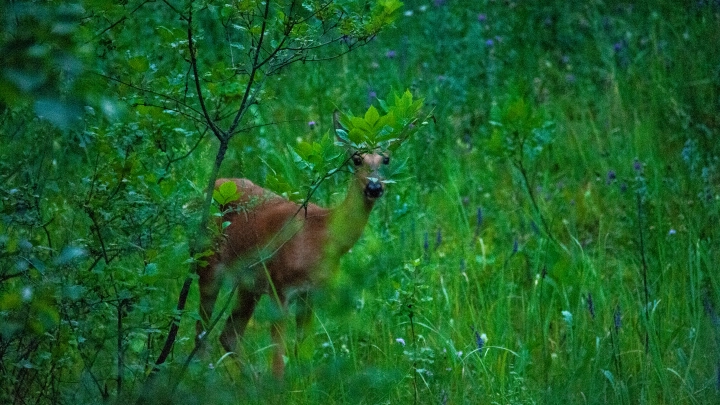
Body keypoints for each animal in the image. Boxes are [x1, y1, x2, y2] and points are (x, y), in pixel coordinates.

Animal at [194, 113, 390, 376]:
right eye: (356, 158)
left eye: (386, 159)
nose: (374, 187)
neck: (322, 234)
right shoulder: (280, 287)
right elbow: (278, 362)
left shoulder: (310, 294)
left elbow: (301, 352)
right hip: (208, 264)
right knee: (201, 335)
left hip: (249, 284)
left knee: (228, 335)